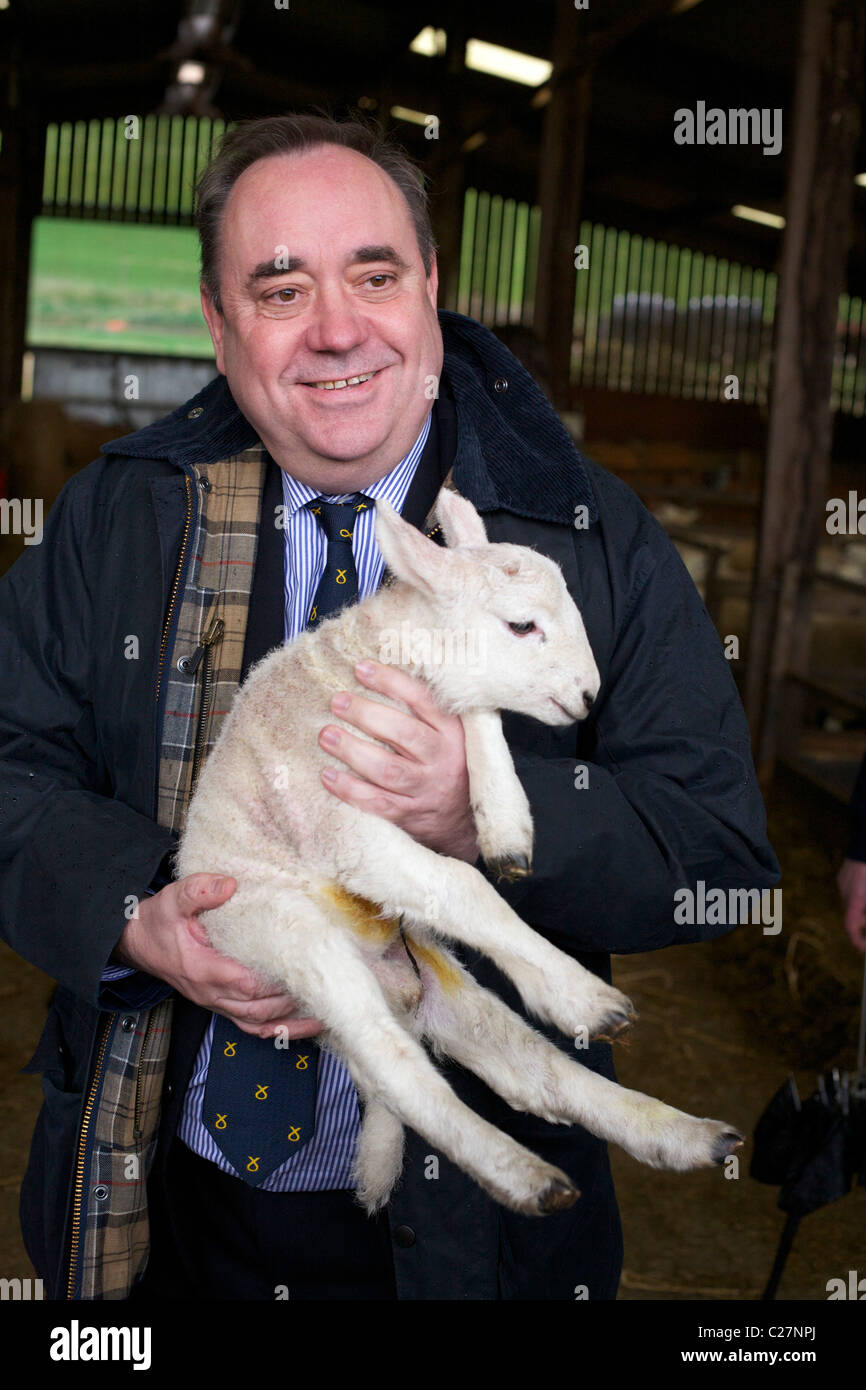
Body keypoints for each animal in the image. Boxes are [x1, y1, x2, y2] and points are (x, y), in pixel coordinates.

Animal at [176, 489, 745, 1217]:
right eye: (523, 626)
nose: (589, 696)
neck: (367, 658)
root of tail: (391, 989)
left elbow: (480, 718)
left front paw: (506, 829)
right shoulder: (337, 823)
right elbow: (464, 886)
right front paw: (576, 989)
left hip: (432, 972)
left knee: (535, 1072)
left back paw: (679, 1135)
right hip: (286, 937)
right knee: (402, 1072)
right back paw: (530, 1161)